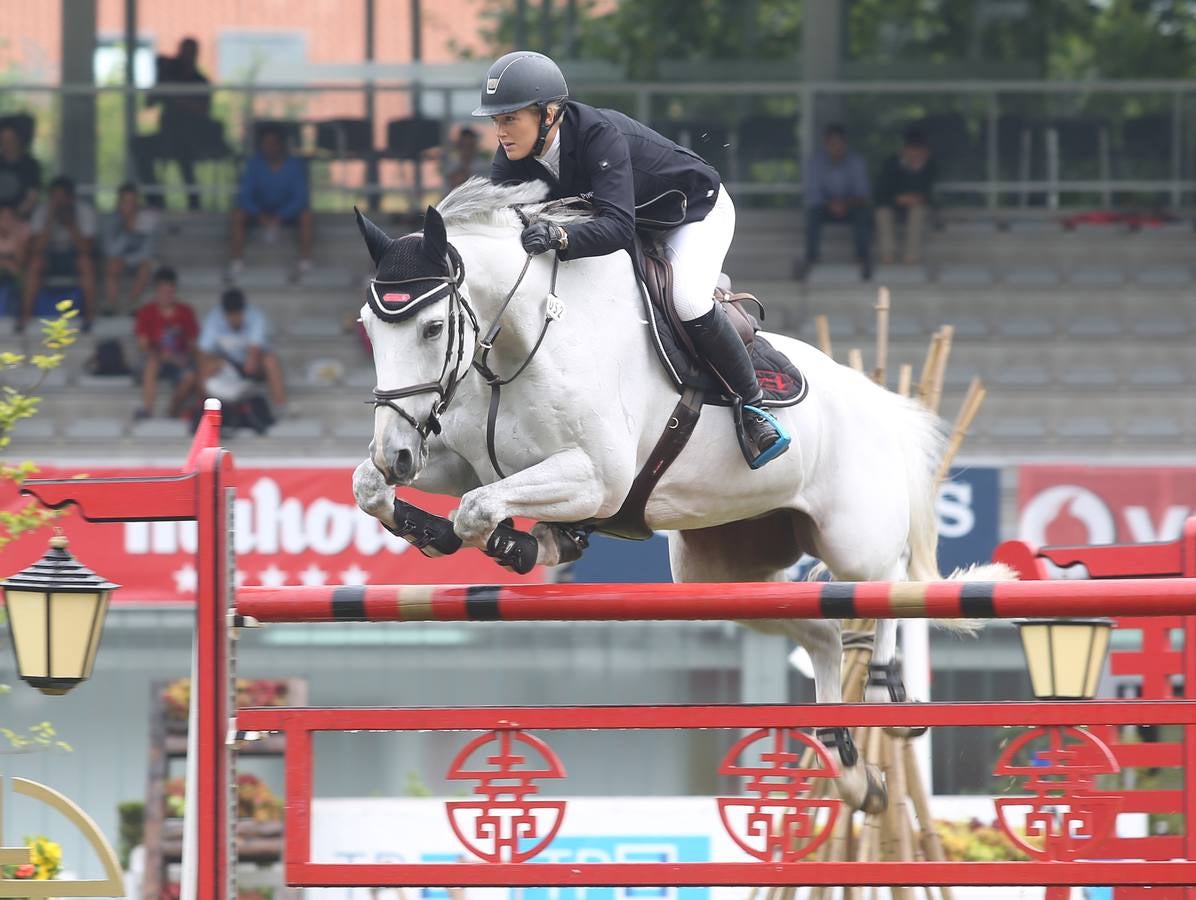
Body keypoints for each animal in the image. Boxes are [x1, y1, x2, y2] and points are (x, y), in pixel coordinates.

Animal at [349, 179, 1004, 812]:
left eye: (433, 327)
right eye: (369, 328)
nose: (397, 451)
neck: (525, 341)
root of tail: (882, 400)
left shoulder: (596, 477)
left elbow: (478, 509)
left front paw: (519, 546)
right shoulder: (466, 461)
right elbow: (376, 488)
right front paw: (441, 529)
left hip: (853, 539)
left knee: (889, 581)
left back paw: (889, 691)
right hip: (720, 572)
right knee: (821, 632)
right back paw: (849, 771)